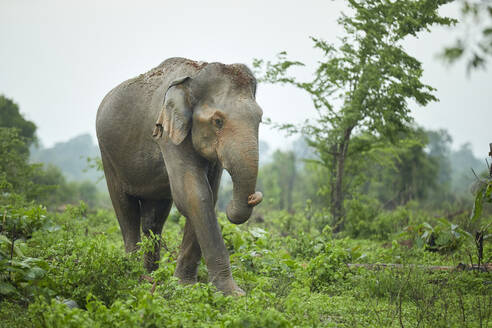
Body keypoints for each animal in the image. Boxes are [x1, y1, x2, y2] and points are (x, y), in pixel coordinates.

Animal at [97, 57, 266, 296]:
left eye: (260, 119)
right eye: (218, 121)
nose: (254, 197)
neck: (194, 77)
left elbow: (208, 196)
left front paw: (184, 286)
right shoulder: (168, 134)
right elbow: (194, 195)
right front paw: (233, 294)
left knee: (154, 218)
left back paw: (151, 277)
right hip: (108, 156)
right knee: (126, 211)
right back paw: (134, 276)